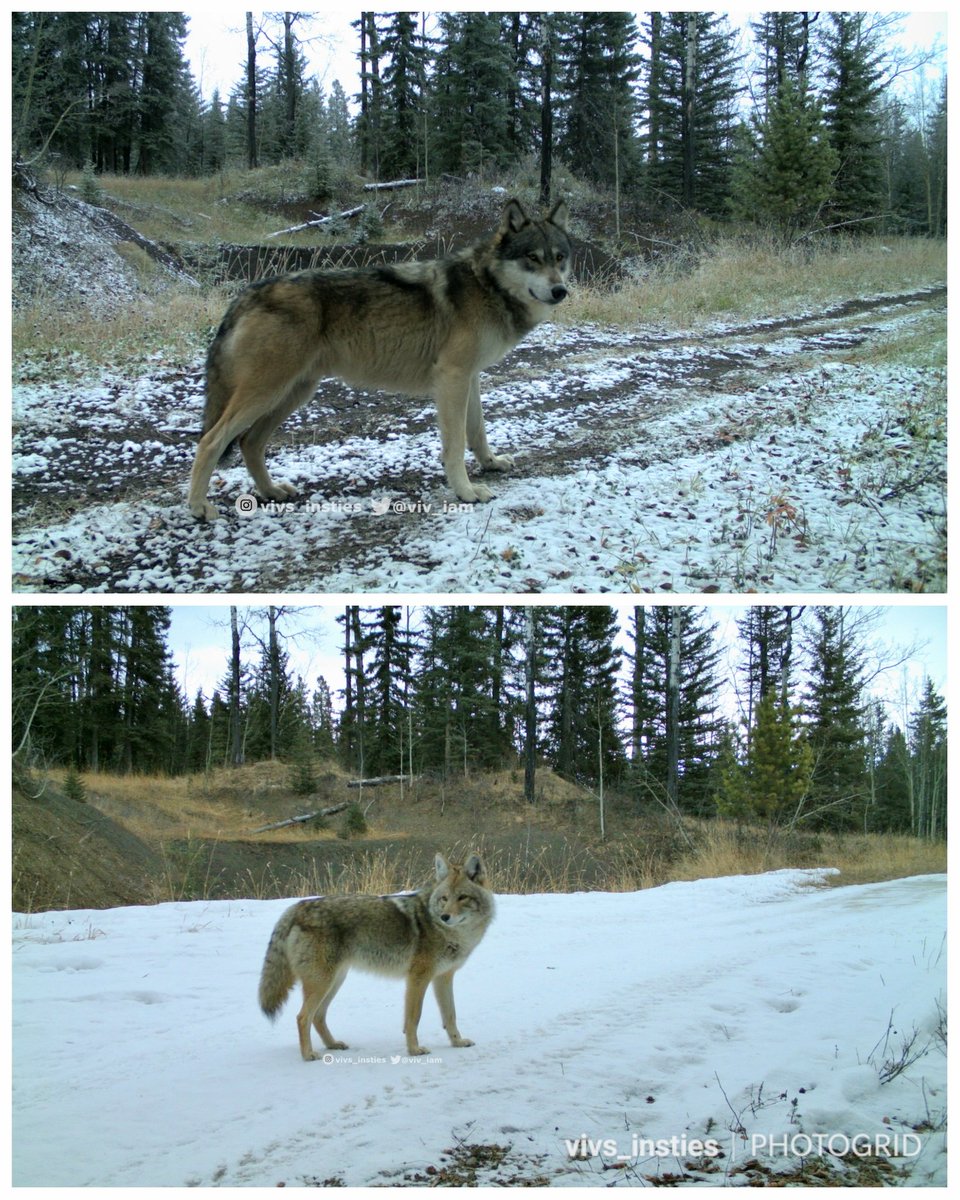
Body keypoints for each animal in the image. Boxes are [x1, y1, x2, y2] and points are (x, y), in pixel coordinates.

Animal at [188, 199, 571, 519]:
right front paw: (466, 492)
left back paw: (271, 491)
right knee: (210, 442)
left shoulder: (469, 377)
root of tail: (245, 294)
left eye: (559, 258)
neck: (486, 285)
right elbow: (456, 445)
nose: (560, 291)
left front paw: (490, 464)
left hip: (292, 394)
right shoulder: (452, 378)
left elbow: (478, 432)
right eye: (532, 258)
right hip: (267, 393)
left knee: (249, 443)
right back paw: (199, 508)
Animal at [258, 853, 494, 1060]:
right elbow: (413, 1018)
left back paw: (333, 1045)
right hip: (322, 983)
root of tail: (296, 907)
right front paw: (414, 1050)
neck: (453, 935)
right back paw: (308, 1055)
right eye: (444, 898)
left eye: (462, 897)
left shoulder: (443, 977)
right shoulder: (418, 979)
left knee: (317, 1016)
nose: (444, 916)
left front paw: (457, 1042)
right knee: (302, 1017)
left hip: (334, 981)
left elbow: (450, 1015)